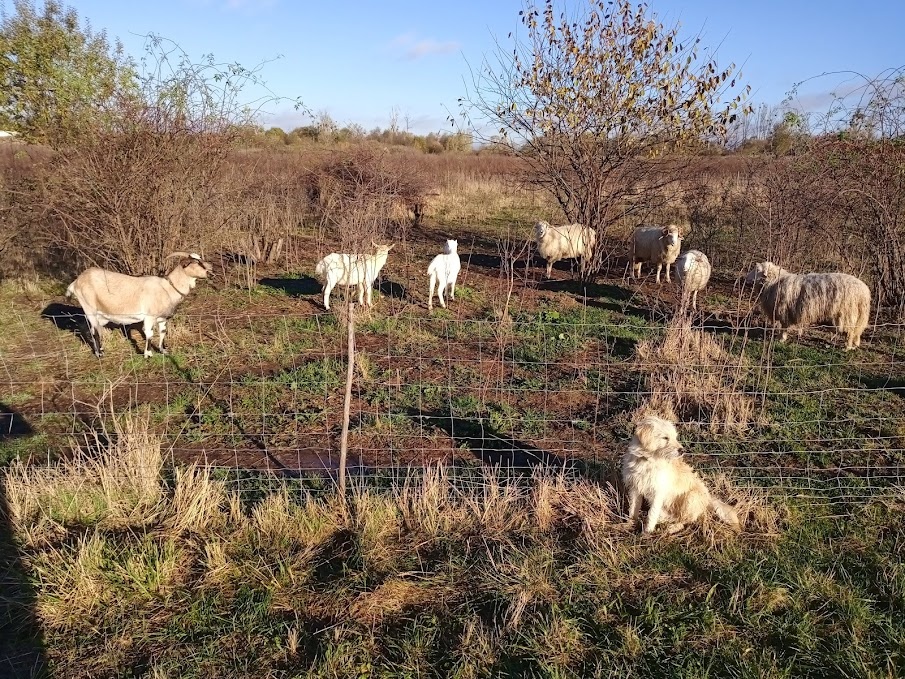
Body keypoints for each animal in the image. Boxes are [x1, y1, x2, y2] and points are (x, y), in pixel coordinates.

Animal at [66, 250, 213, 356]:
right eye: (196, 262)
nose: (211, 270)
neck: (167, 288)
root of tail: (76, 282)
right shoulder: (149, 316)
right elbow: (149, 334)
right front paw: (148, 354)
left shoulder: (162, 318)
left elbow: (163, 332)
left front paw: (163, 350)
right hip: (89, 308)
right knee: (95, 331)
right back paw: (100, 354)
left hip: (102, 315)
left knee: (93, 329)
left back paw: (99, 350)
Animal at [740, 260, 868, 350]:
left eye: (757, 270)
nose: (745, 278)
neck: (774, 282)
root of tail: (864, 291)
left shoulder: (784, 311)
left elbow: (784, 326)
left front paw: (781, 339)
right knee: (856, 332)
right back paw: (854, 345)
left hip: (847, 314)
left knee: (850, 332)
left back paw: (847, 347)